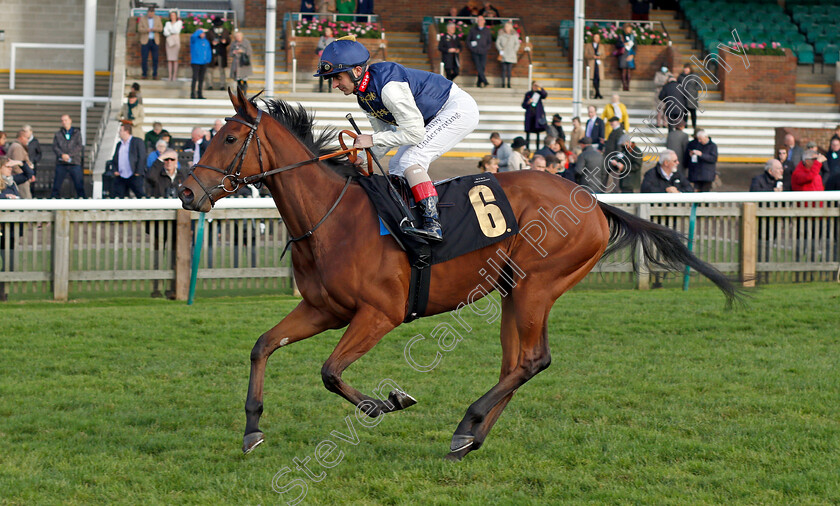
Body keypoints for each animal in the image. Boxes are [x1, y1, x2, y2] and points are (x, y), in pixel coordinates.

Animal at [179, 89, 740, 460]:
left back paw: (467, 424)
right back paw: (470, 437)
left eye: (230, 137)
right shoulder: (322, 309)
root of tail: (592, 201)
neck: (331, 218)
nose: (186, 192)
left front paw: (386, 402)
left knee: (532, 360)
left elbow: (330, 371)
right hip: (515, 289)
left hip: (537, 284)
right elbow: (262, 346)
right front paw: (252, 429)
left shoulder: (379, 314)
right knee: (519, 362)